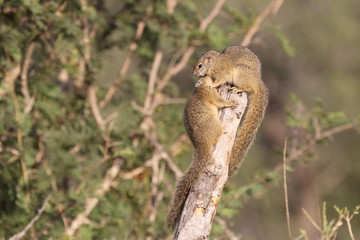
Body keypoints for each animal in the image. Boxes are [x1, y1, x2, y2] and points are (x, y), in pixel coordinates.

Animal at [167, 75, 239, 229]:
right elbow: (220, 102)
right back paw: (223, 130)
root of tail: (201, 145)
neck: (200, 89)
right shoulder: (210, 94)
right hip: (213, 124)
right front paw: (231, 102)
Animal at [194, 45, 268, 176]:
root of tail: (257, 82)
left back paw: (237, 89)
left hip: (240, 74)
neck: (215, 62)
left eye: (200, 65)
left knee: (247, 87)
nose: (194, 73)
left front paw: (212, 85)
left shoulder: (222, 72)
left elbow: (219, 80)